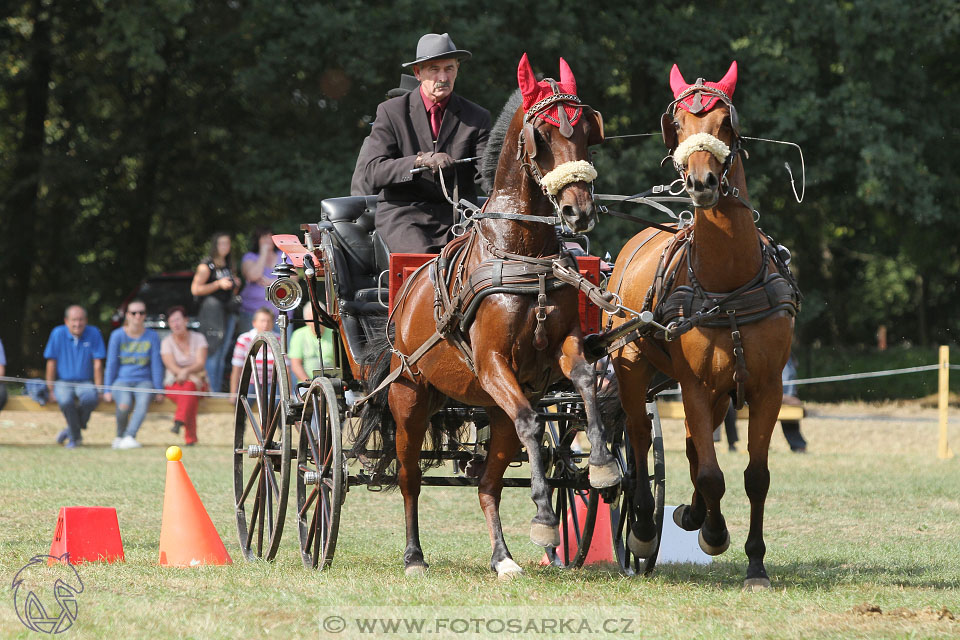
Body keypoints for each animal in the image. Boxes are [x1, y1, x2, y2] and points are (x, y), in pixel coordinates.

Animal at [354, 52, 616, 576]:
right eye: (543, 135)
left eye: (585, 130)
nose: (578, 212)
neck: (522, 251)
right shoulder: (493, 362)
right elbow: (533, 423)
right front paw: (543, 515)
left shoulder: (562, 347)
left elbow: (583, 381)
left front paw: (601, 466)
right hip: (410, 400)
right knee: (410, 480)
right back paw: (414, 556)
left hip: (491, 411)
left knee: (488, 484)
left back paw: (503, 558)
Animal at [612, 62, 800, 588]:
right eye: (677, 125)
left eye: (725, 124)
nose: (702, 181)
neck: (728, 284)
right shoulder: (693, 384)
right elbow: (713, 474)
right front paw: (714, 534)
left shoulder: (765, 386)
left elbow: (753, 475)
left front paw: (754, 562)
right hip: (631, 366)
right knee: (638, 440)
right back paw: (641, 528)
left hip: (719, 391)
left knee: (696, 449)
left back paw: (693, 514)